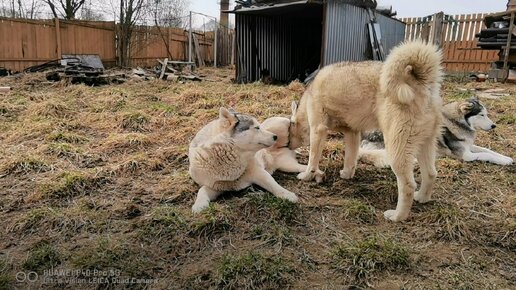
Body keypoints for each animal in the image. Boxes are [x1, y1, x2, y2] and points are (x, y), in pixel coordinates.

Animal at [290, 40, 444, 222]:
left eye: (290, 129)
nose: (288, 145)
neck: (309, 95)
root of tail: (420, 82)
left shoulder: (318, 130)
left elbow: (312, 160)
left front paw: (307, 176)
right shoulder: (352, 133)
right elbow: (350, 158)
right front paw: (346, 174)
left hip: (397, 150)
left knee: (408, 185)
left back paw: (398, 216)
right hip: (424, 145)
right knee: (431, 174)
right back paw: (422, 198)